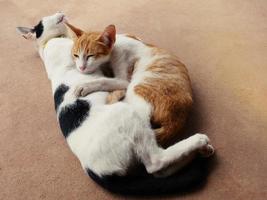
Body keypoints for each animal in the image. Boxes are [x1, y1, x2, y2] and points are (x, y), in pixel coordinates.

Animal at [65, 22, 195, 146]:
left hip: (138, 85)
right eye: (75, 55)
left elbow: (104, 81)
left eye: (90, 56)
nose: (81, 68)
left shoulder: (124, 78)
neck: (117, 43)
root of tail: (176, 121)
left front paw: (85, 86)